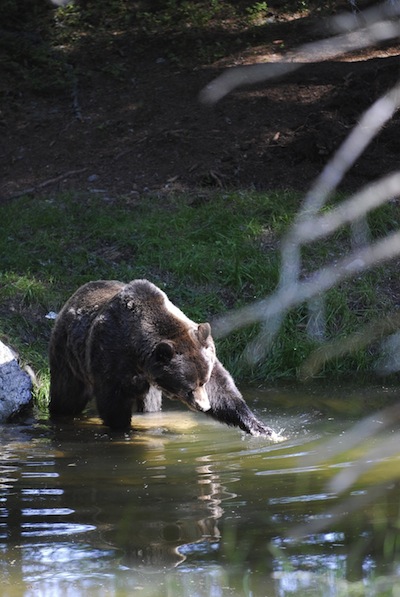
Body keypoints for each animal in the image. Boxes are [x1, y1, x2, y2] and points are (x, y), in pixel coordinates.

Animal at [48, 278, 274, 436]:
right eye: (188, 387)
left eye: (203, 381)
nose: (204, 406)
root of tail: (76, 294)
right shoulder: (110, 357)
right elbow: (112, 402)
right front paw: (125, 430)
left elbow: (222, 390)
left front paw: (261, 428)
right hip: (68, 355)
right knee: (67, 394)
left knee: (150, 406)